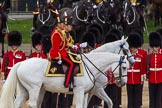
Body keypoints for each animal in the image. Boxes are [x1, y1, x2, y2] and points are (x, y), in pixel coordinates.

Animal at [0, 51, 129, 107]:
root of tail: (22, 63)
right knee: (32, 104)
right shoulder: (80, 91)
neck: (89, 66)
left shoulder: (86, 92)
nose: (122, 83)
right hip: (33, 89)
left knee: (17, 103)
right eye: (124, 67)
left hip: (25, 90)